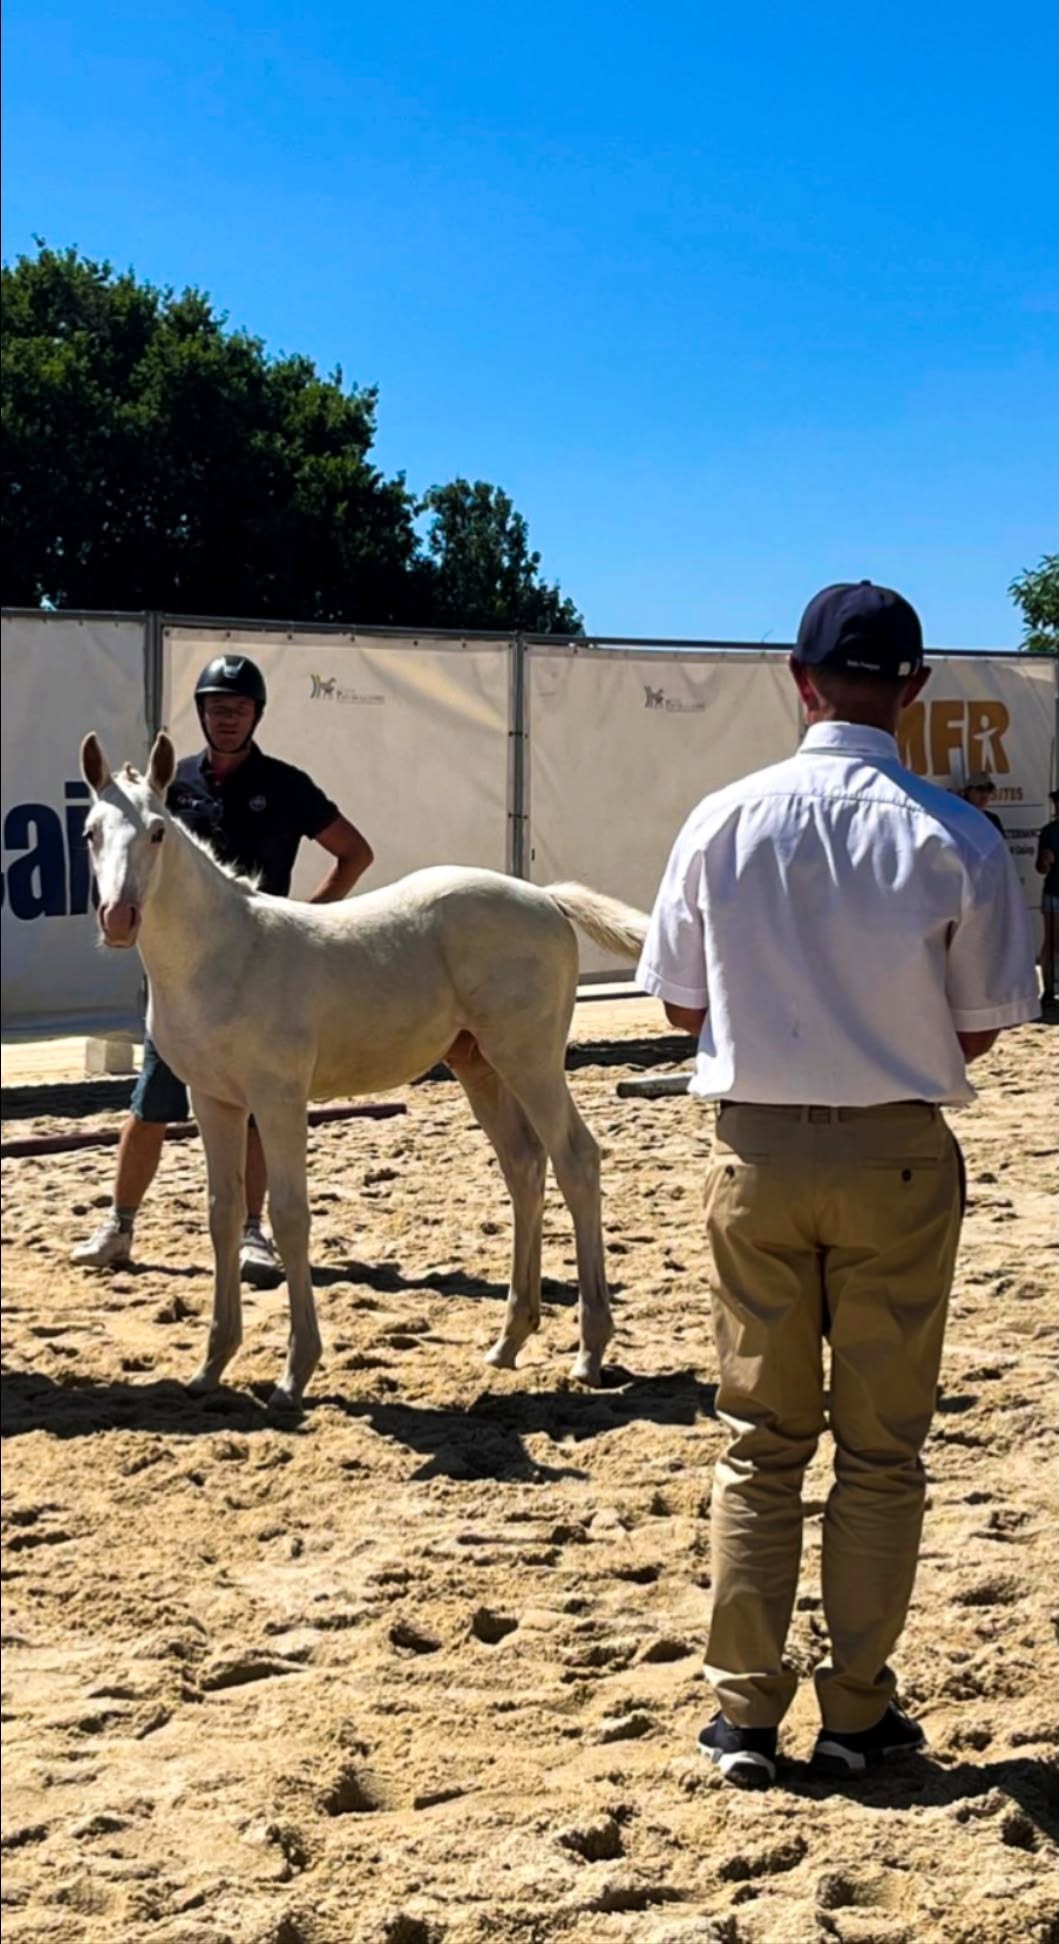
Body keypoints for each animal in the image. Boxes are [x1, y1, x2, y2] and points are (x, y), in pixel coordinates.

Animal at [80, 732, 651, 1409]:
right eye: (90, 832)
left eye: (158, 832)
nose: (119, 919)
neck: (227, 954)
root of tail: (548, 900)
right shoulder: (213, 1101)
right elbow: (222, 1215)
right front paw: (211, 1365)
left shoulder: (278, 1099)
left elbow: (290, 1215)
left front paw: (295, 1373)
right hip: (479, 1064)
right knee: (524, 1166)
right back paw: (509, 1341)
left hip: (529, 1058)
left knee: (575, 1159)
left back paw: (590, 1352)